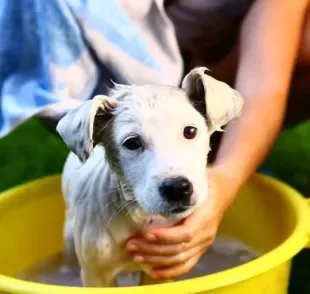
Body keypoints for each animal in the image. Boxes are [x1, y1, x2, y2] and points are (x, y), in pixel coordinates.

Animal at [57, 67, 243, 288]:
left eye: (190, 131)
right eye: (132, 143)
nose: (177, 188)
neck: (140, 216)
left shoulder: (162, 269)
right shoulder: (96, 275)